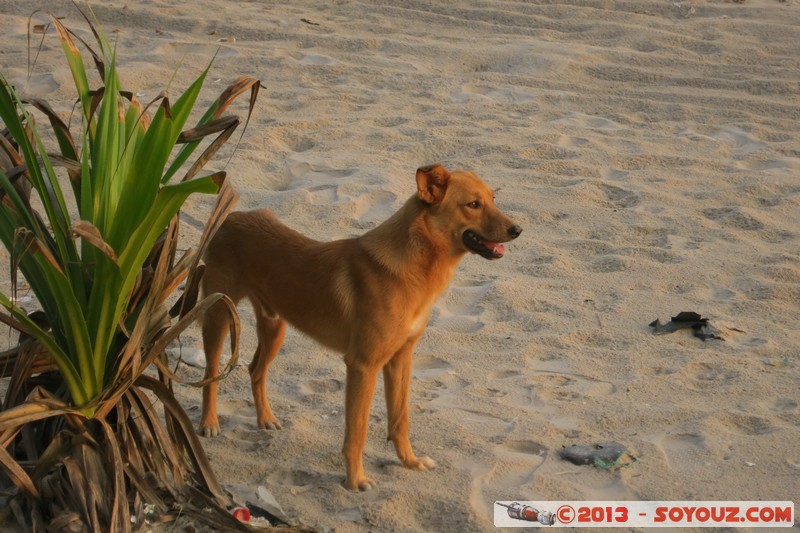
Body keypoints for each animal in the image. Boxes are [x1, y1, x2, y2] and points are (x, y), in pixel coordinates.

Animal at [200, 163, 520, 490]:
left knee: (256, 370)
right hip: (218, 315)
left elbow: (400, 419)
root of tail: (231, 217)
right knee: (210, 374)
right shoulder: (363, 366)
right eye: (473, 204)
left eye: (493, 199)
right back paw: (208, 424)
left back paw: (265, 418)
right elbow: (358, 431)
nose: (517, 230)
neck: (413, 268)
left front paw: (410, 462)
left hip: (274, 326)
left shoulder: (400, 359)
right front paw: (356, 480)